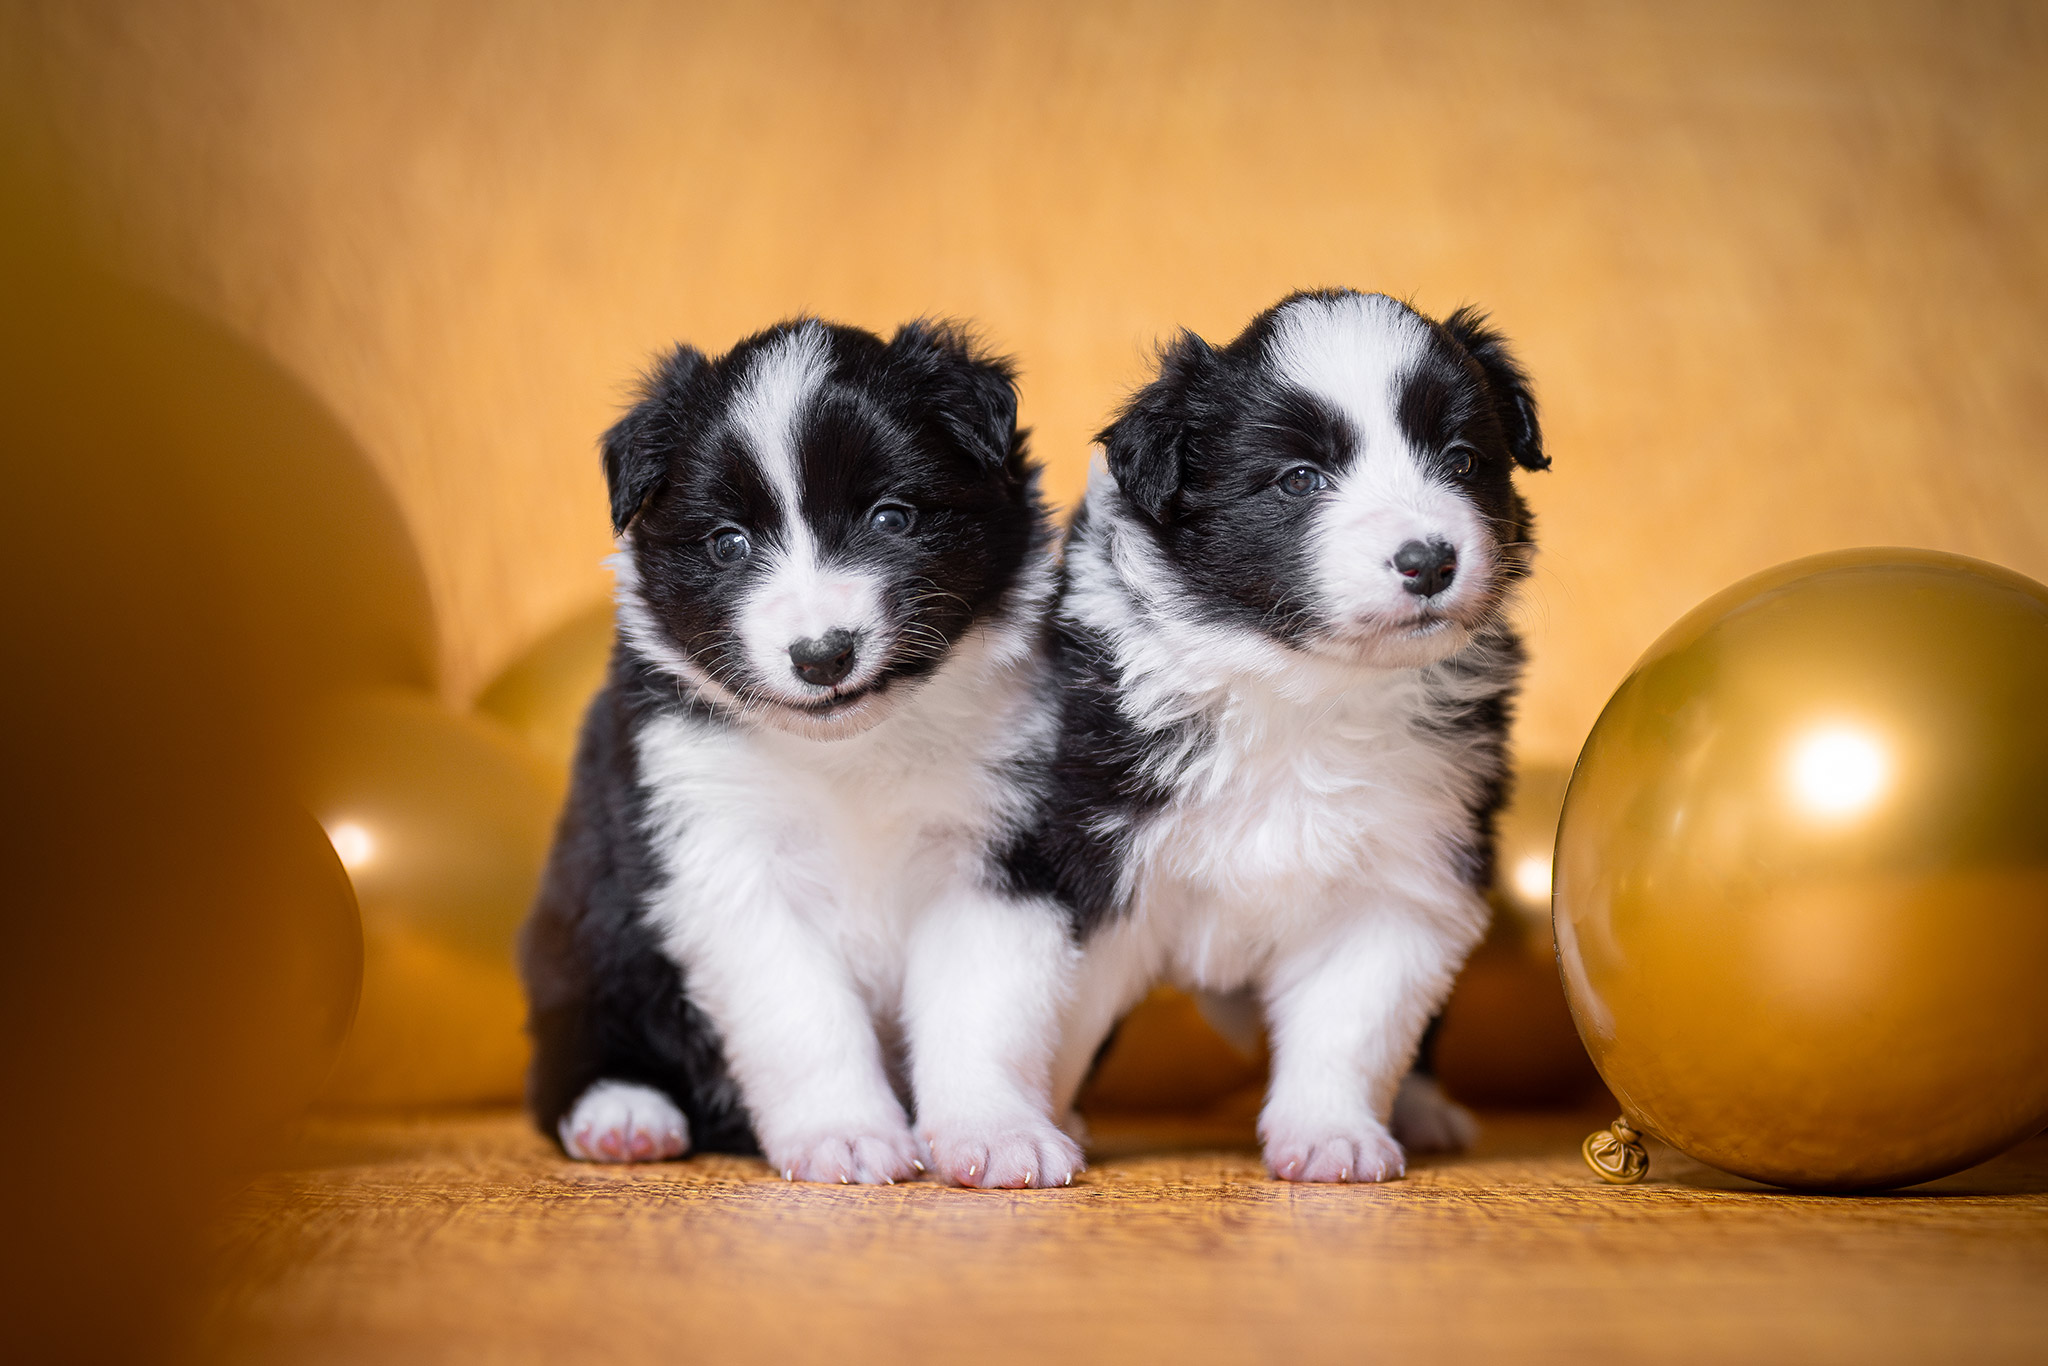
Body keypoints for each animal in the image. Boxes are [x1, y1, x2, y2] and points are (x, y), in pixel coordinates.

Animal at [520, 317, 1089, 1187]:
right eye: (727, 543)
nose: (822, 656)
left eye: (892, 517)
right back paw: (623, 1114)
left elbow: (983, 1006)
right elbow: (803, 1015)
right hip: (583, 927)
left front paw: (997, 1134)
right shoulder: (723, 854)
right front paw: (845, 1135)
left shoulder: (1003, 845)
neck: (850, 750)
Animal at [983, 288, 1540, 1187]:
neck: (1301, 686)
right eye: (1299, 479)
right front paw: (1027, 1127)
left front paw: (1331, 1135)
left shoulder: (1408, 865)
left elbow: (1354, 1021)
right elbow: (1056, 1014)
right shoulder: (1091, 855)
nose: (1429, 560)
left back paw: (1425, 1110)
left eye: (1461, 461)